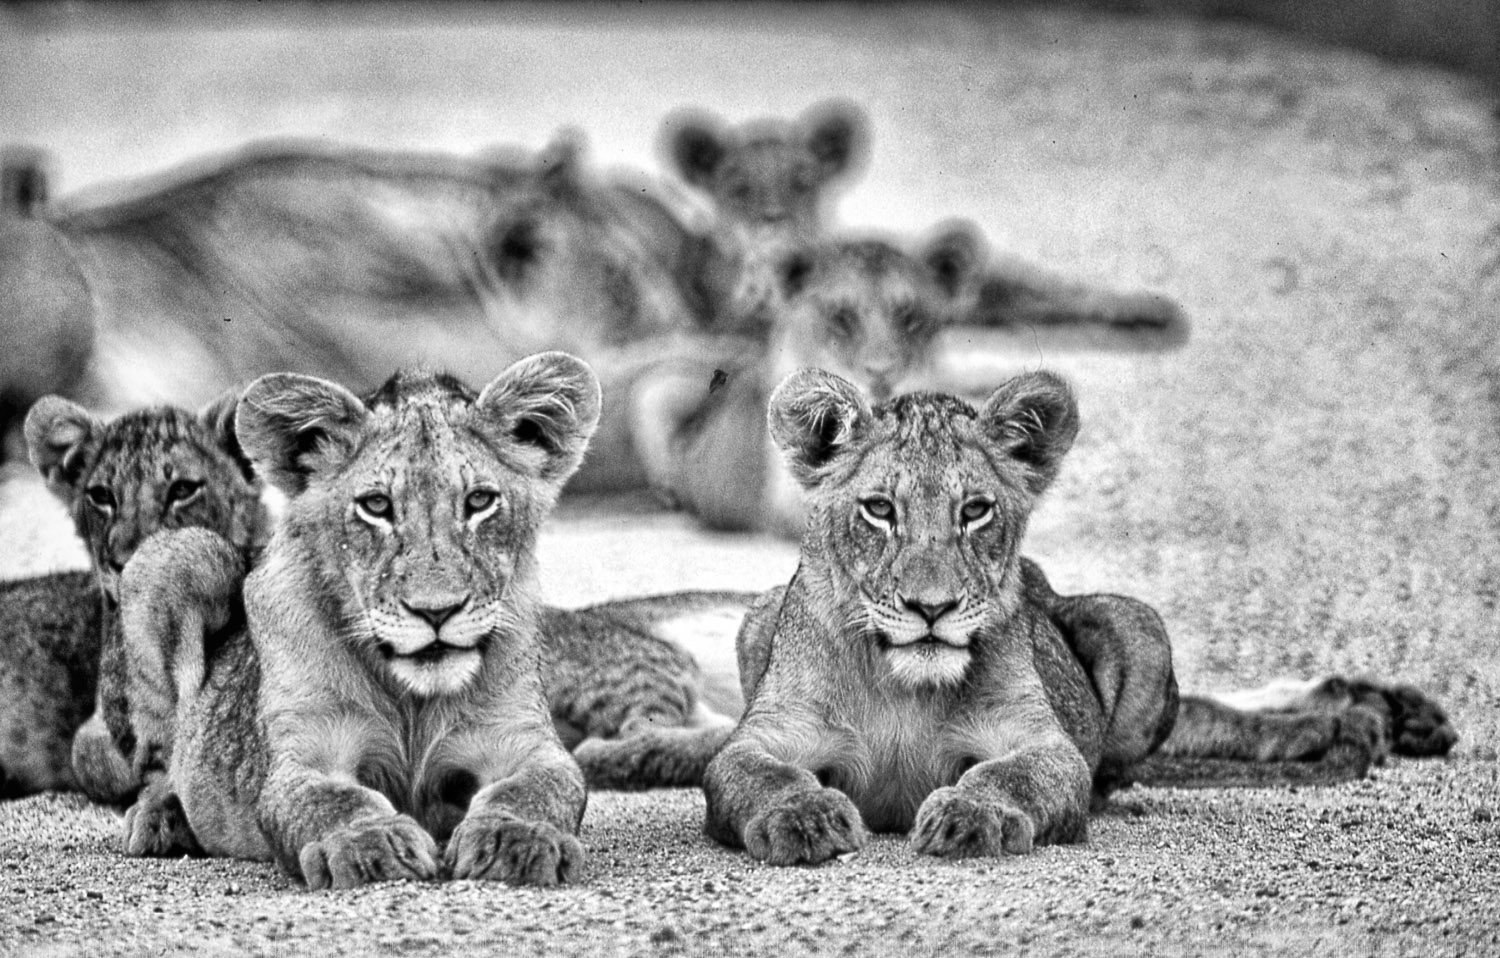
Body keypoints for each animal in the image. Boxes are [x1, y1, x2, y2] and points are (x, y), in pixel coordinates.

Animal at [115, 355, 600, 888]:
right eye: (377, 505)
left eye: (478, 501)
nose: (436, 611)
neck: (412, 703)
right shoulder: (305, 754)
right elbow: (331, 801)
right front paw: (372, 844)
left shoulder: (524, 741)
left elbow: (538, 789)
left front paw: (513, 839)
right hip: (179, 554)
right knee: (162, 758)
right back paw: (159, 819)